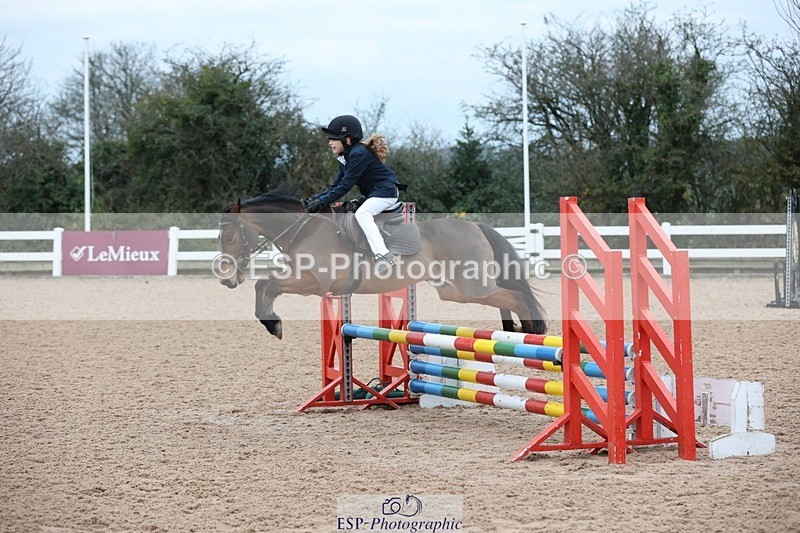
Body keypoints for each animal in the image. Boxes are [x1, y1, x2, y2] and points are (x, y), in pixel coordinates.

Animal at [218, 184, 547, 338]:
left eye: (230, 236)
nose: (226, 279)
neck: (304, 228)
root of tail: (476, 226)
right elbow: (263, 285)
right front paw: (271, 322)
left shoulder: (314, 283)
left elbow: (267, 284)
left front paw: (273, 324)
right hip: (455, 290)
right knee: (505, 296)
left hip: (470, 287)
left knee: (516, 296)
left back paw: (532, 330)